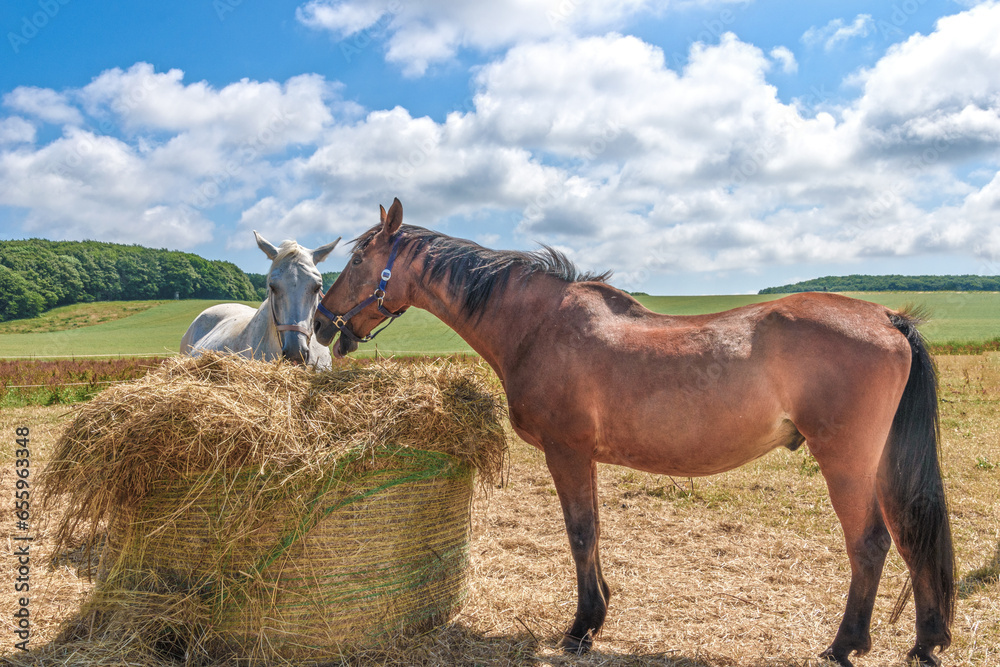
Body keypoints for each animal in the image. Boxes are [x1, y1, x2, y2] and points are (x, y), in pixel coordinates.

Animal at [313, 198, 955, 667]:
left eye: (356, 260)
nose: (320, 323)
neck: (537, 324)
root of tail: (886, 317)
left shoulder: (567, 452)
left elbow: (579, 534)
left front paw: (580, 629)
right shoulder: (585, 457)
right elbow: (594, 532)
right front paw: (597, 617)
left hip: (845, 460)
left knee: (869, 544)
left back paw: (845, 644)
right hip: (883, 462)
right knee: (911, 537)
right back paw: (925, 642)